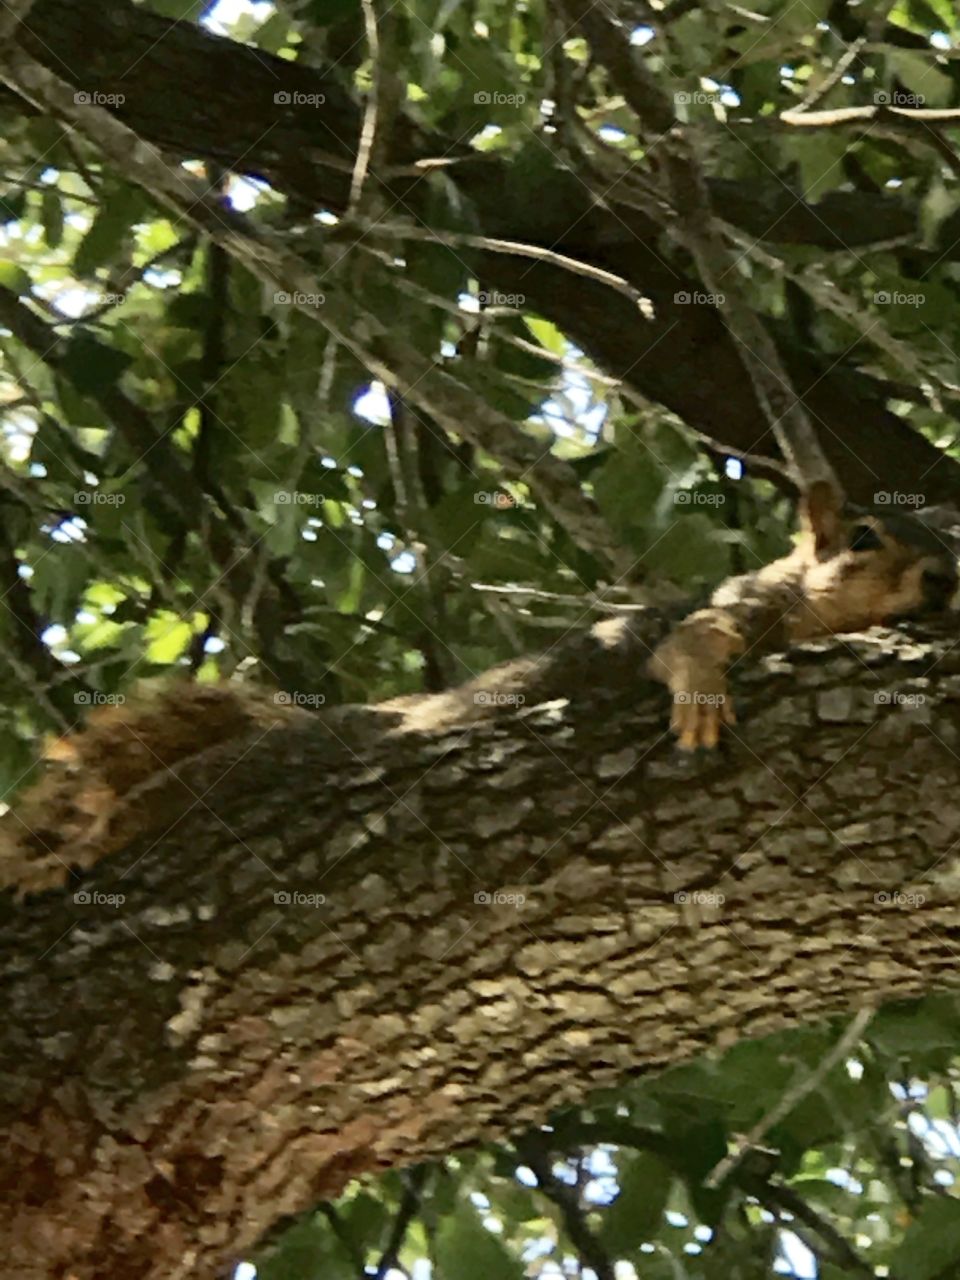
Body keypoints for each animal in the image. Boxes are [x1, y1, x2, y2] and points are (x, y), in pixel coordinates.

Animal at [0, 482, 955, 895]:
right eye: (863, 538)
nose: (943, 580)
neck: (806, 608)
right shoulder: (737, 604)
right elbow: (689, 645)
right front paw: (701, 695)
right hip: (268, 767)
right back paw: (72, 851)